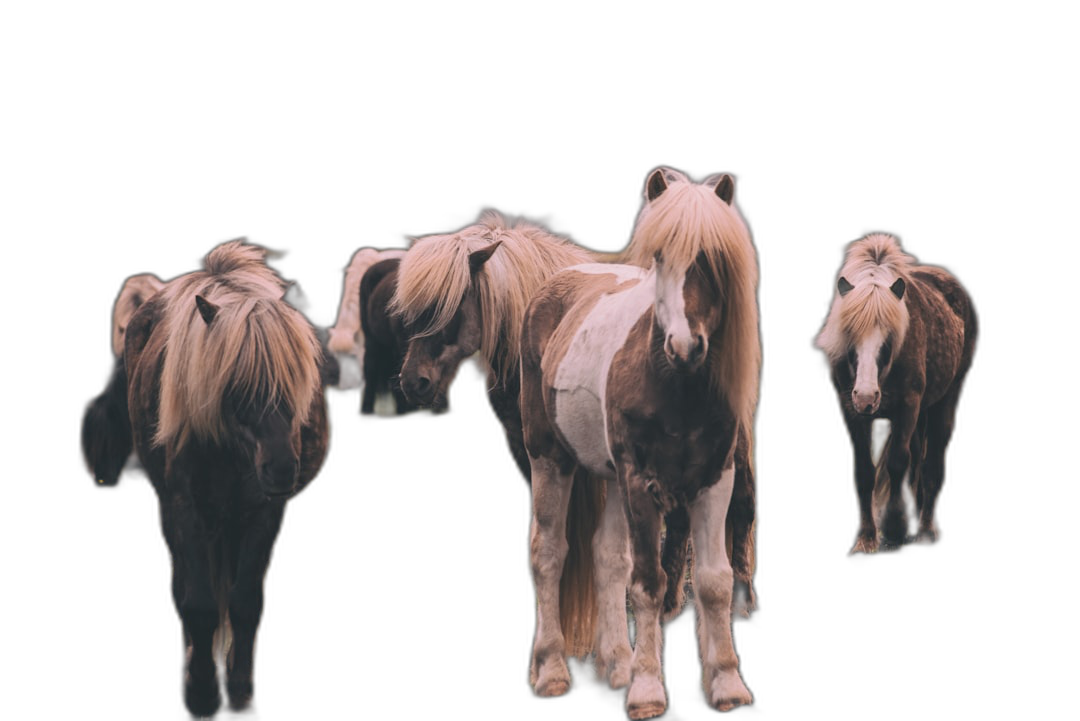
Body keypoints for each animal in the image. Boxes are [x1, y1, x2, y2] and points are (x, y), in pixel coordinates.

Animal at [520, 169, 760, 716]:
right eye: (660, 256)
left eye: (715, 257)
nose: (685, 347)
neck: (674, 384)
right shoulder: (640, 481)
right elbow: (650, 583)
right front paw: (648, 690)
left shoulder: (715, 479)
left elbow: (713, 582)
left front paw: (727, 683)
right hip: (552, 459)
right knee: (549, 552)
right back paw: (551, 670)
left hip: (610, 475)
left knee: (607, 556)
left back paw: (618, 665)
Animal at [816, 234, 980, 556]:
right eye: (849, 335)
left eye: (890, 338)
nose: (867, 397)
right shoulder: (850, 409)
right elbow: (865, 470)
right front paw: (867, 538)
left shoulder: (908, 405)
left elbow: (896, 462)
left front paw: (892, 530)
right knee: (917, 462)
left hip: (944, 403)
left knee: (930, 465)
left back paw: (925, 530)